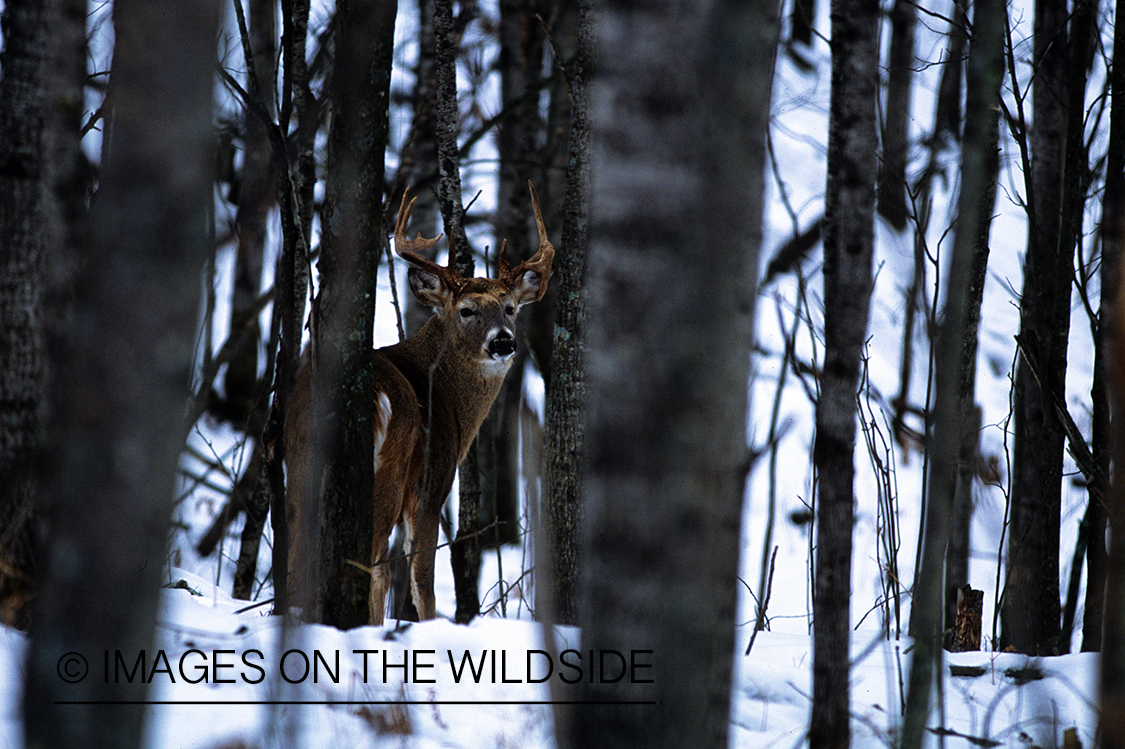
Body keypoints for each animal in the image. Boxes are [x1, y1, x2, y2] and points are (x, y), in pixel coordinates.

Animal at [285, 179, 553, 616]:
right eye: (466, 310)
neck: (445, 398)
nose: (503, 342)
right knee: (371, 562)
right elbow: (421, 580)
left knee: (296, 555)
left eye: (511, 308)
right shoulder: (433, 483)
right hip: (389, 469)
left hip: (299, 461)